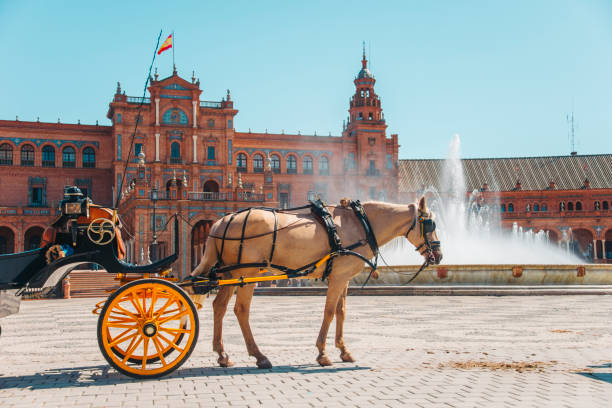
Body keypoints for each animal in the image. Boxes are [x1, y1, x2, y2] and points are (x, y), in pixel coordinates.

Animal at [189, 198, 442, 370]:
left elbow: (341, 312)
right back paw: (259, 355)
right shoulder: (338, 278)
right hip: (246, 274)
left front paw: (344, 350)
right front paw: (322, 353)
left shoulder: (343, 277)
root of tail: (222, 221)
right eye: (430, 224)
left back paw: (223, 354)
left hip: (230, 275)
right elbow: (329, 312)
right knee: (240, 310)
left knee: (219, 307)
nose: (438, 256)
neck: (360, 223)